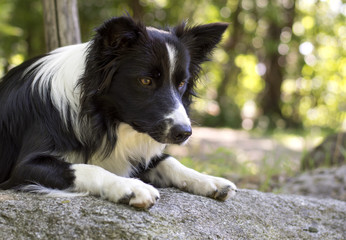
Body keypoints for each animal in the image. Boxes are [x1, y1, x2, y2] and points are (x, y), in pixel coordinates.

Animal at [0, 16, 237, 208]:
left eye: (181, 84)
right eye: (146, 81)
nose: (184, 133)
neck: (102, 117)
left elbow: (169, 160)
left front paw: (210, 180)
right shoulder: (23, 168)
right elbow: (87, 168)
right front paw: (130, 187)